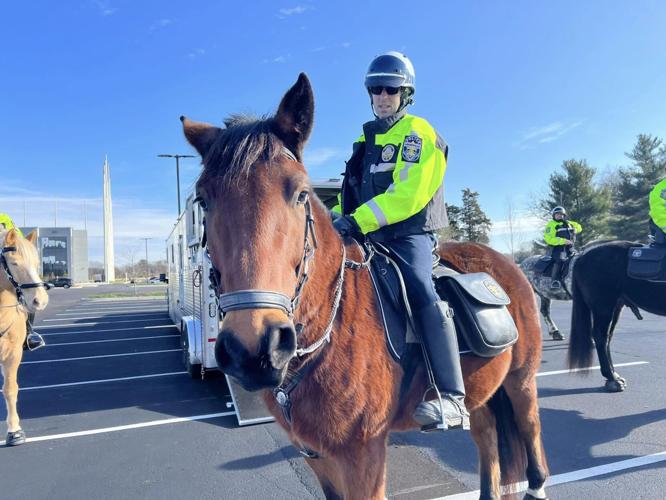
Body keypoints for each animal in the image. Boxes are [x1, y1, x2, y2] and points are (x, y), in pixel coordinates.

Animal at [182, 73, 549, 499]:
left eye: (301, 193)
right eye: (204, 200)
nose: (253, 348)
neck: (332, 323)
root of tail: (506, 264)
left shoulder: (363, 456)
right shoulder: (316, 455)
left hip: (522, 383)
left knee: (533, 440)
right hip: (483, 394)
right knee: (487, 440)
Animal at [568, 240, 666, 392]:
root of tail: (582, 256)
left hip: (616, 307)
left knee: (607, 337)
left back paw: (613, 375)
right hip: (603, 308)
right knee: (600, 337)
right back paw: (611, 377)